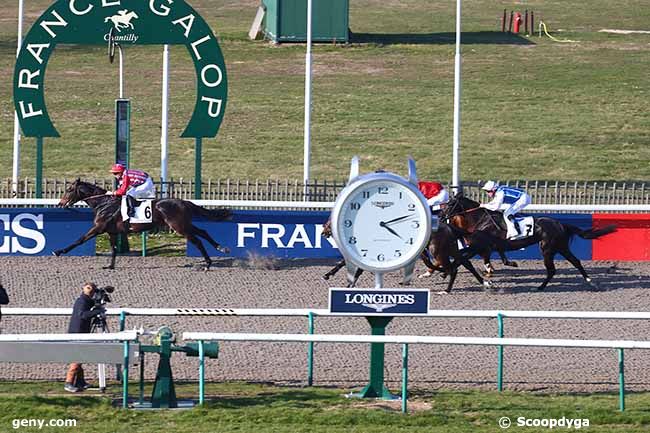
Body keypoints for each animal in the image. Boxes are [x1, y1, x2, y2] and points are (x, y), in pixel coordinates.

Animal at [53, 178, 230, 266]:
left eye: (69, 189)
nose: (60, 204)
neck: (103, 203)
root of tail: (184, 201)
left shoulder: (98, 227)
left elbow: (79, 240)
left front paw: (59, 251)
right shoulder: (111, 231)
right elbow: (114, 249)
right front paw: (110, 266)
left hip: (179, 226)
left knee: (197, 240)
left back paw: (208, 262)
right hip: (184, 224)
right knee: (203, 232)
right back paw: (221, 248)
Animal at [442, 195, 616, 290]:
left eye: (450, 204)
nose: (442, 217)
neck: (481, 219)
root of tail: (560, 224)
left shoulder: (480, 246)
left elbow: (463, 259)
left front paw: (446, 272)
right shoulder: (487, 247)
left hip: (547, 248)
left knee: (552, 270)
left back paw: (539, 287)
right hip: (561, 247)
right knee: (576, 261)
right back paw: (591, 282)